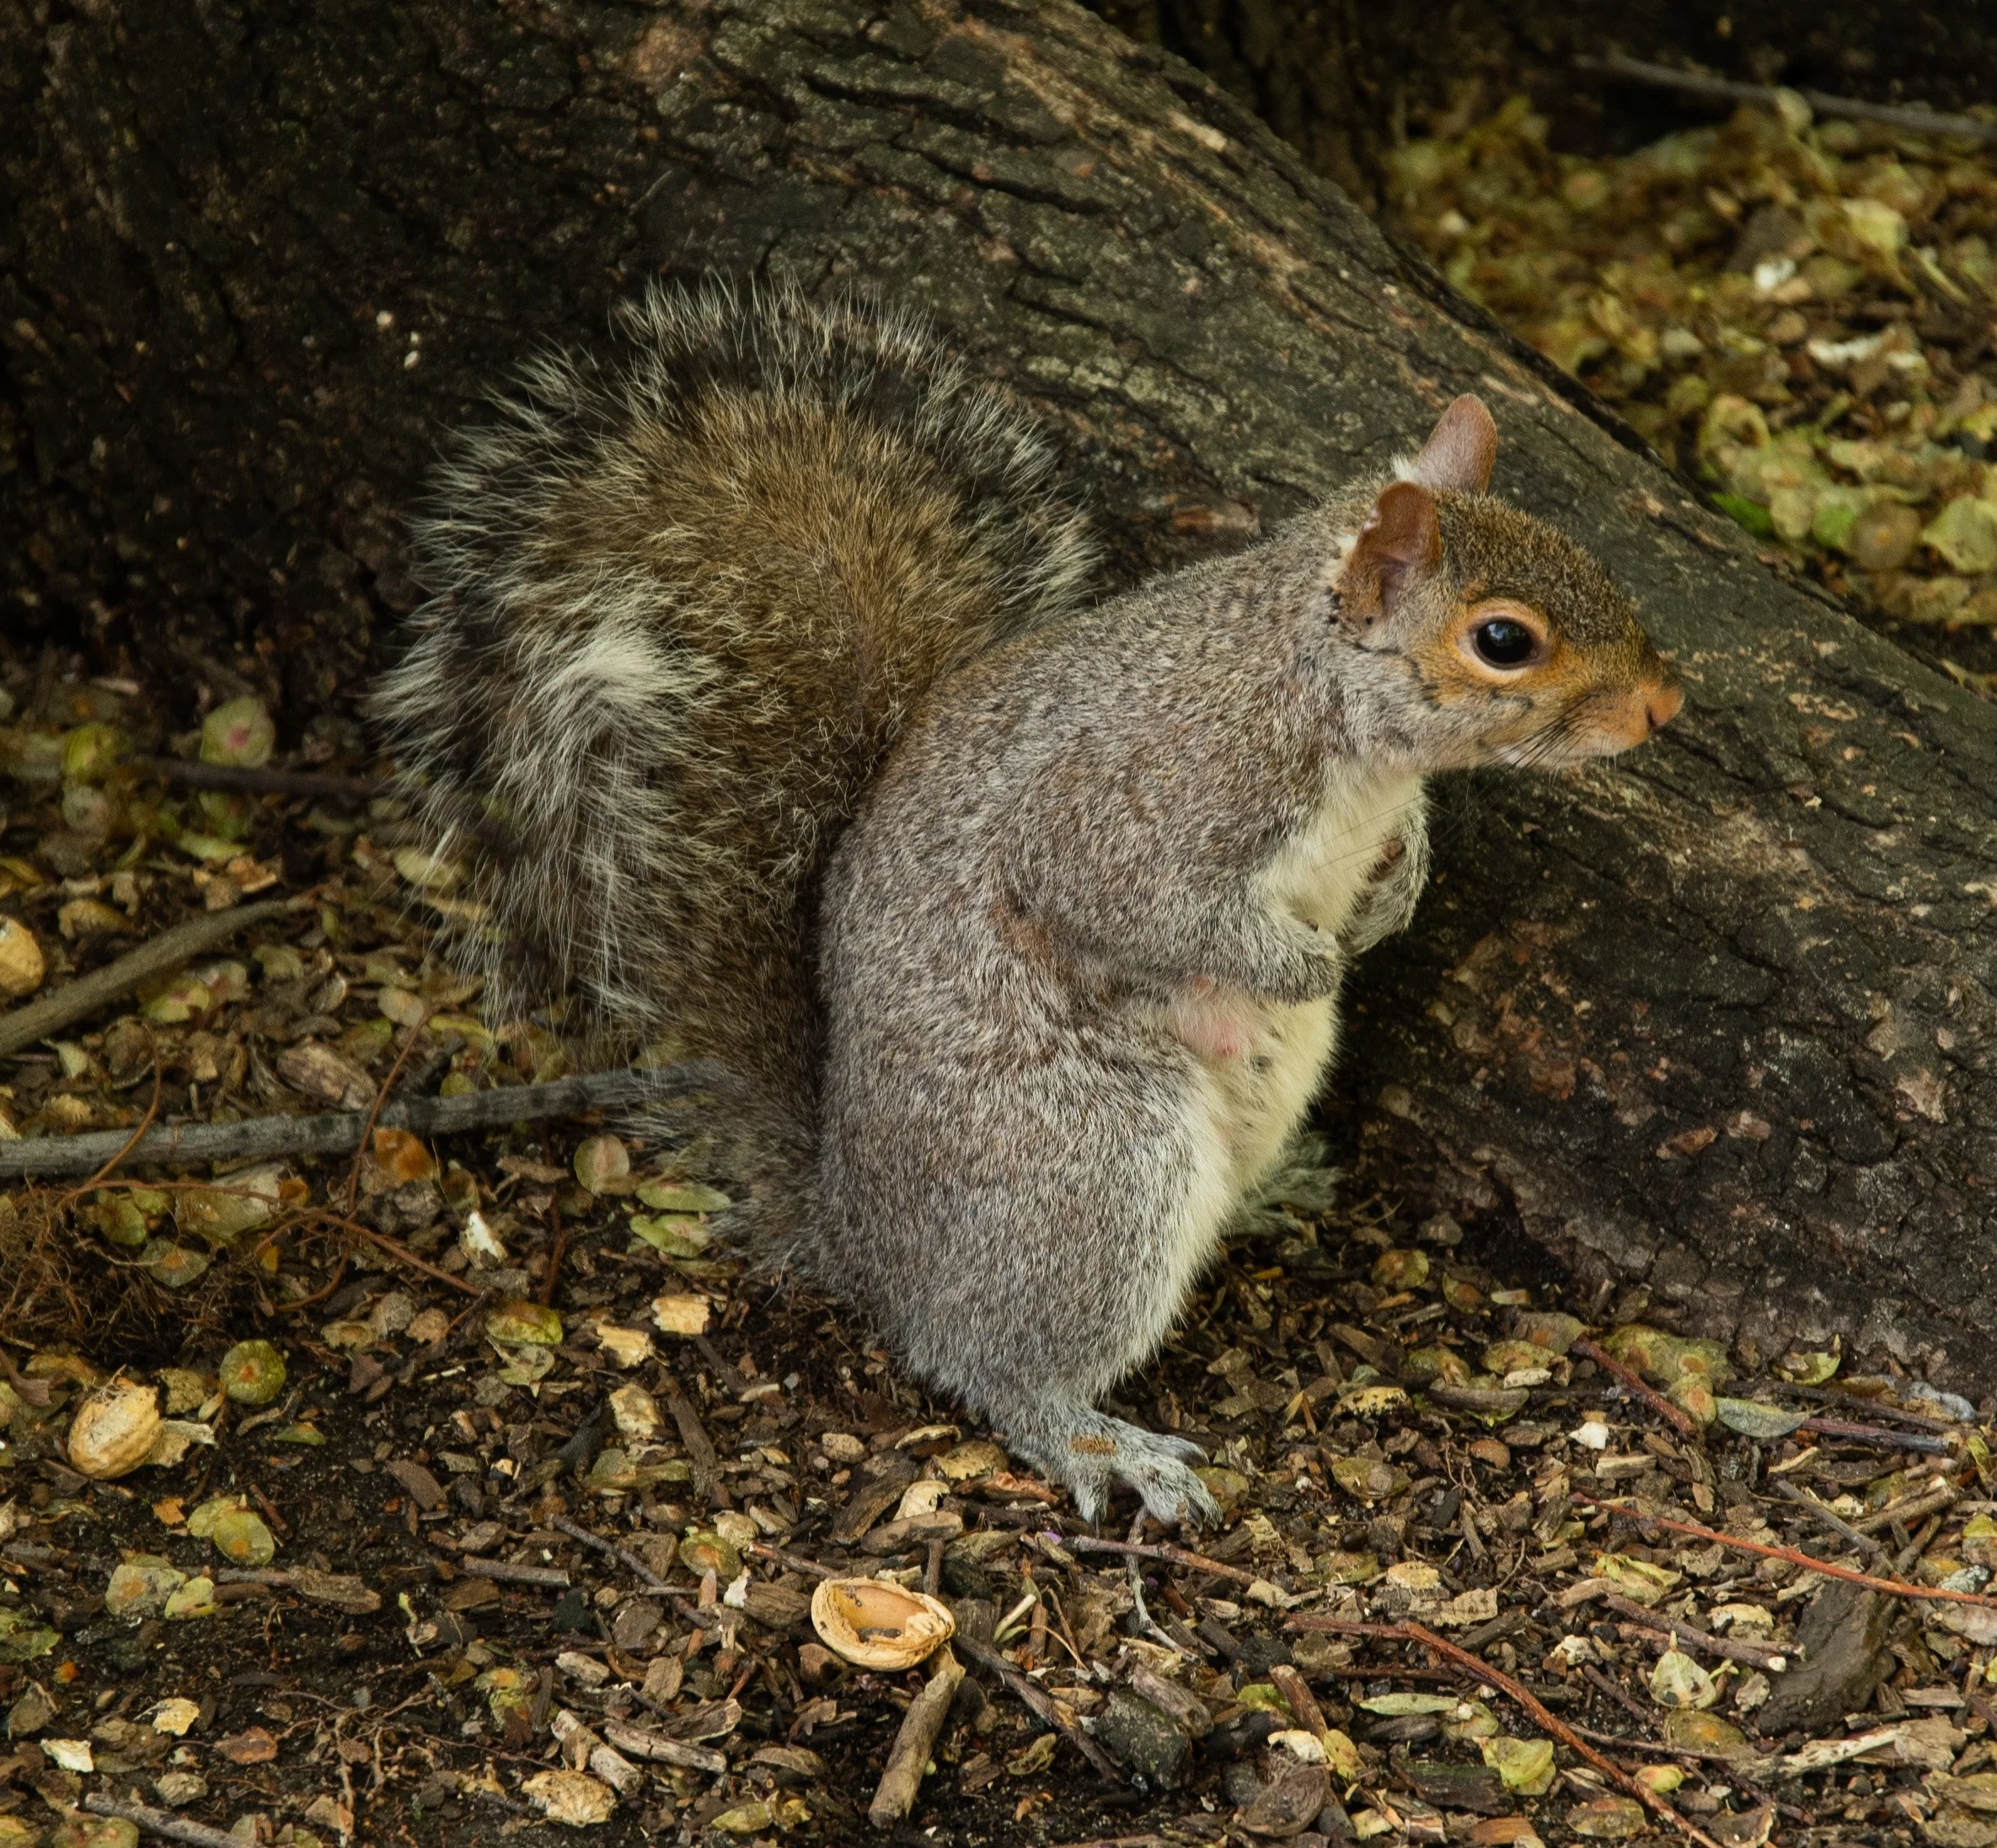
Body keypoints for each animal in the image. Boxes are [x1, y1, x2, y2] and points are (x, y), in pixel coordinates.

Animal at [375, 280, 1682, 1526]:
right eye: (1503, 640)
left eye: (1591, 562)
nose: (1662, 708)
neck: (1326, 710)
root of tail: (862, 1236)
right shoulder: (1143, 806)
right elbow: (1143, 910)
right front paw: (1303, 963)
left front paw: (1393, 891)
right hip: (1089, 1167)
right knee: (990, 1364)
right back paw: (1097, 1440)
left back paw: (1273, 1196)